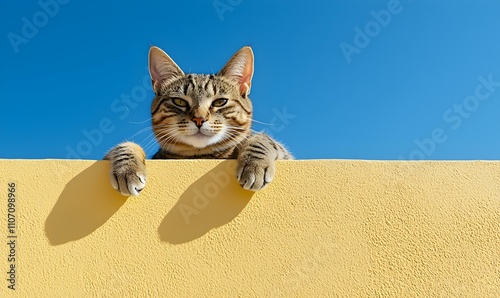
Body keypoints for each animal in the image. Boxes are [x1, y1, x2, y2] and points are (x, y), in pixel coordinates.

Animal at [105, 46, 292, 196]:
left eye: (220, 102)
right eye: (179, 102)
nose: (199, 118)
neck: (200, 155)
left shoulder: (287, 156)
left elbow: (263, 139)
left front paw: (255, 164)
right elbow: (124, 146)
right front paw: (126, 169)